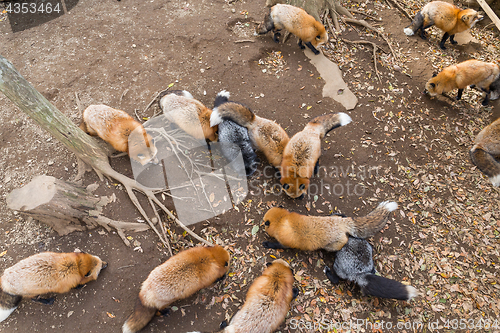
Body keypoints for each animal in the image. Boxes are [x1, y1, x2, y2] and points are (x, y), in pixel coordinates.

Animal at [262, 198, 398, 250]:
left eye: (264, 223)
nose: (261, 224)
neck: (281, 221)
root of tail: (342, 223)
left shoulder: (285, 242)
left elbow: (277, 245)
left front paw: (267, 243)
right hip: (335, 218)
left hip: (331, 246)